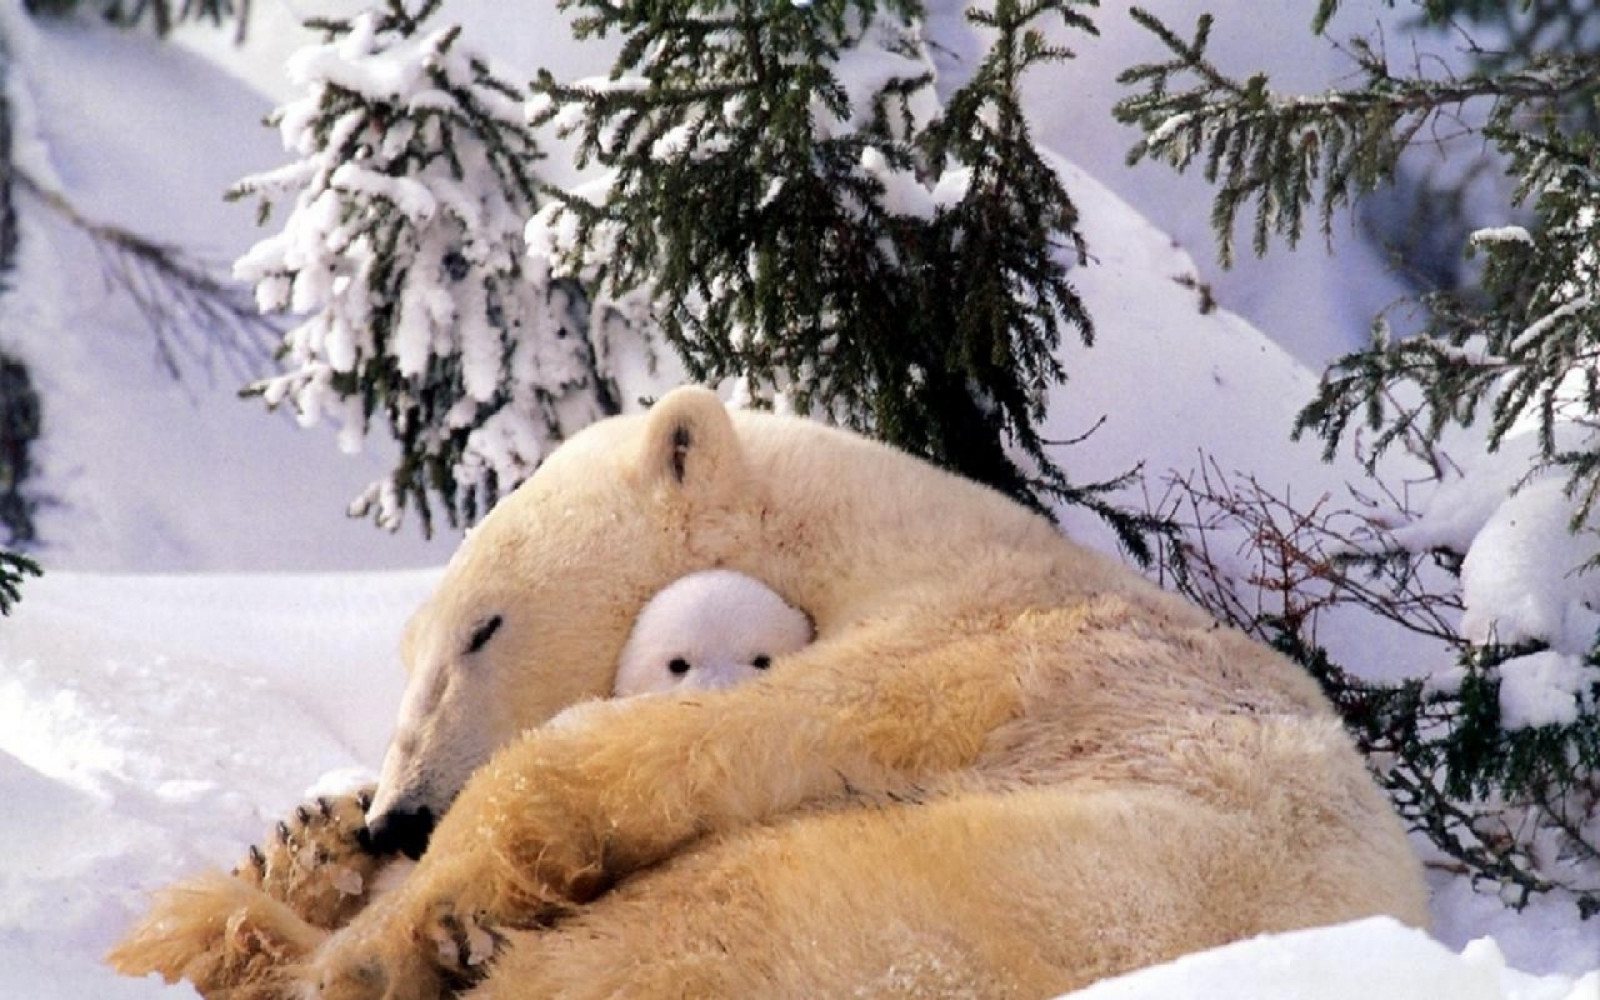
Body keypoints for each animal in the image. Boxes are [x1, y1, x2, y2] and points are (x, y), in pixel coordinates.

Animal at [108, 385, 1428, 1000]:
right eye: (408, 651)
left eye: (482, 628)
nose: (401, 814)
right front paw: (317, 837)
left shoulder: (985, 647)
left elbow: (683, 744)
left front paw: (410, 918)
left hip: (929, 905)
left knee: (677, 930)